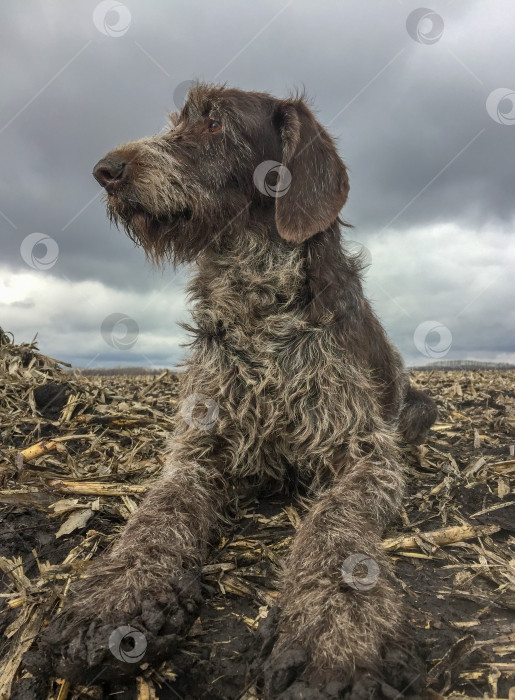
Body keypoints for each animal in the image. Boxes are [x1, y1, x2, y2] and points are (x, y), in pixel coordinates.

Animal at [23, 85, 436, 696]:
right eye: (178, 120)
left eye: (215, 122)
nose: (105, 170)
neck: (257, 306)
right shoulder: (196, 451)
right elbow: (159, 512)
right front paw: (117, 594)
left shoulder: (365, 455)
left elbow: (335, 529)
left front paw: (334, 633)